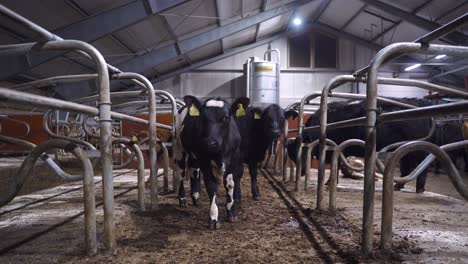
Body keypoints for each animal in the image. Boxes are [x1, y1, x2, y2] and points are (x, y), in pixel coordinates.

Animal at [176, 95, 243, 229]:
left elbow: (230, 184)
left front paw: (231, 212)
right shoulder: (205, 161)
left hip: (194, 154)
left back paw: (195, 196)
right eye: (202, 117)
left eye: (226, 117)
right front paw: (213, 218)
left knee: (193, 168)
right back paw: (182, 199)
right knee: (181, 171)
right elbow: (211, 186)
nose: (209, 143)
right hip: (179, 147)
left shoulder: (234, 159)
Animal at [288, 98, 434, 193]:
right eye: (292, 156)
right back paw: (398, 186)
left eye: (303, 150)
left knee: (421, 167)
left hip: (418, 150)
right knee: (407, 167)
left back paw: (419, 189)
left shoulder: (335, 148)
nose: (301, 172)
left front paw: (329, 183)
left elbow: (336, 165)